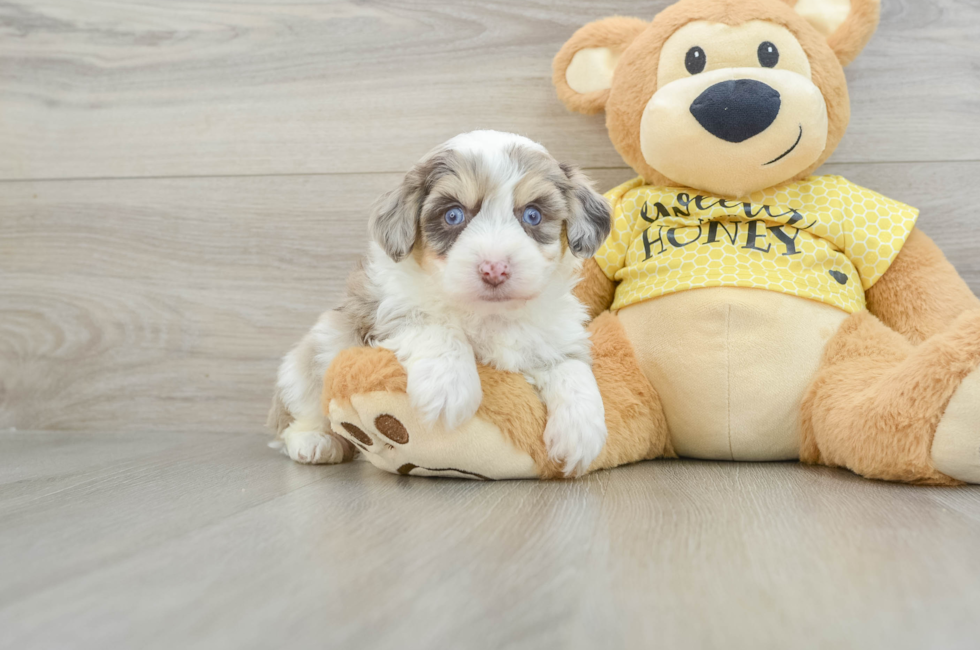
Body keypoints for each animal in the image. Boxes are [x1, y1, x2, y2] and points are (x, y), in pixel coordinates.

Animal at [268, 130, 612, 476]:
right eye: (453, 215)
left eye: (533, 215)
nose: (495, 269)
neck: (489, 314)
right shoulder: (382, 310)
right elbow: (433, 325)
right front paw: (449, 386)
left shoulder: (556, 335)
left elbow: (571, 368)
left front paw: (581, 431)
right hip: (312, 354)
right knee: (299, 412)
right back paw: (316, 441)